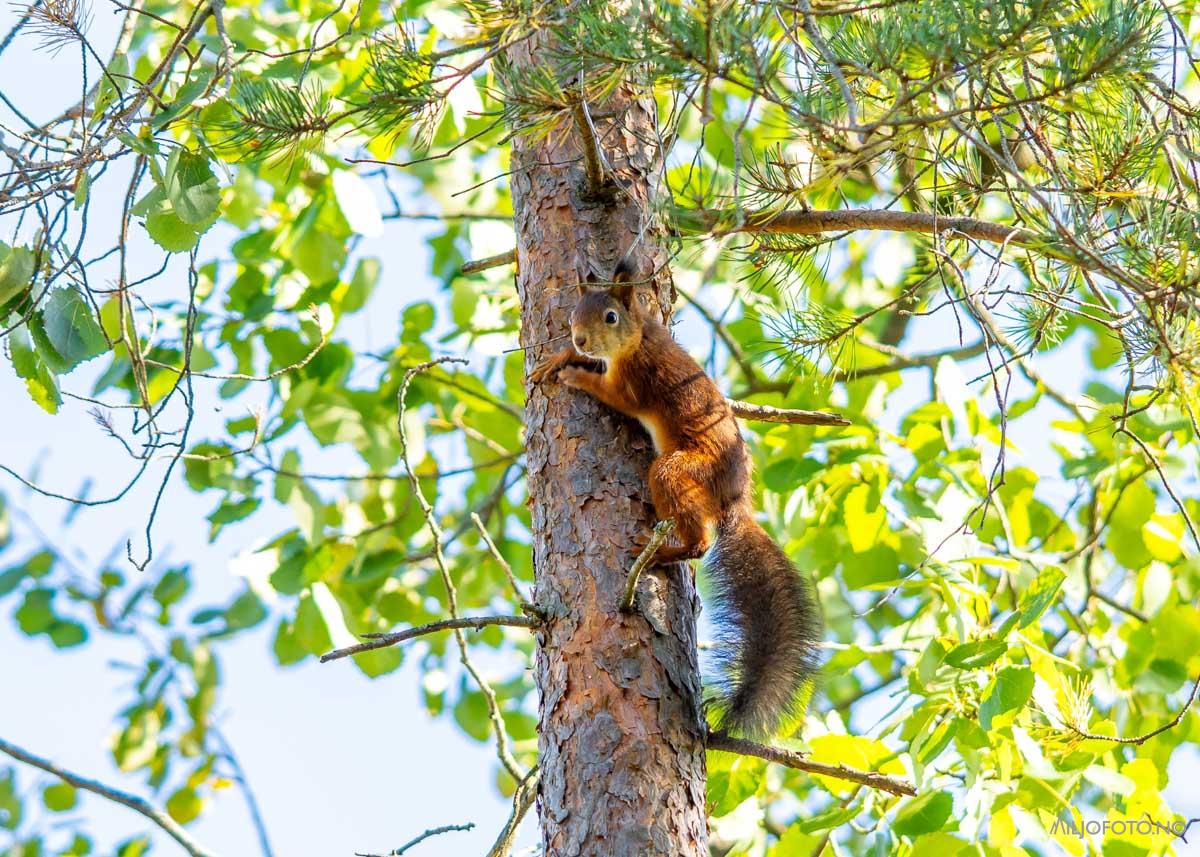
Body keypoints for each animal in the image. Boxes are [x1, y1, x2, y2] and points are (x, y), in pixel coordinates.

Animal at [535, 259, 825, 734]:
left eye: (610, 317)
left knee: (699, 542)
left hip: (678, 470)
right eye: (574, 314)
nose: (579, 339)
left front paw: (576, 374)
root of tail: (735, 500)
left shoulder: (632, 384)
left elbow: (610, 392)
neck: (639, 337)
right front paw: (560, 358)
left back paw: (661, 552)